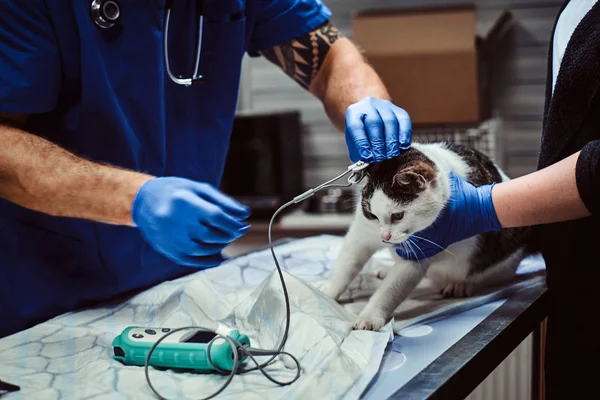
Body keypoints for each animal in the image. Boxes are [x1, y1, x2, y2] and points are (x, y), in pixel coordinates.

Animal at [322, 142, 532, 330]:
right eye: (373, 215)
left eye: (398, 216)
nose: (385, 237)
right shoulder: (361, 234)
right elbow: (346, 264)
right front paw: (329, 290)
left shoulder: (419, 252)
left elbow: (391, 290)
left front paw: (370, 316)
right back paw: (387, 268)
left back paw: (461, 284)